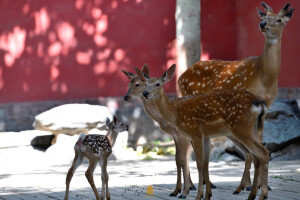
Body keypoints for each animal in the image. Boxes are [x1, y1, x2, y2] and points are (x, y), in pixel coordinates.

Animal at [120, 65, 203, 198]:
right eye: (128, 84)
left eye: (137, 84)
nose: (126, 97)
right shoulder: (176, 136)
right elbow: (178, 159)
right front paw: (179, 189)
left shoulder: (183, 136)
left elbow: (184, 160)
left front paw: (186, 190)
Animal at [138, 64, 270, 200]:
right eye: (145, 84)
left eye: (158, 84)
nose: (145, 93)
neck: (176, 113)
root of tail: (257, 102)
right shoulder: (205, 136)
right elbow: (206, 164)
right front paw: (207, 195)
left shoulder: (195, 132)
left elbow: (199, 163)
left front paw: (197, 195)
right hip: (250, 129)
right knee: (256, 156)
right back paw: (252, 194)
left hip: (241, 128)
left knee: (263, 153)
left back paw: (262, 195)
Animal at [177, 0, 294, 193]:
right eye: (264, 17)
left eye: (279, 19)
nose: (262, 24)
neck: (264, 76)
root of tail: (180, 77)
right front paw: (248, 185)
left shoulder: (264, 108)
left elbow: (259, 142)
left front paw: (260, 185)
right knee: (186, 142)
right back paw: (192, 185)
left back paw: (205, 183)